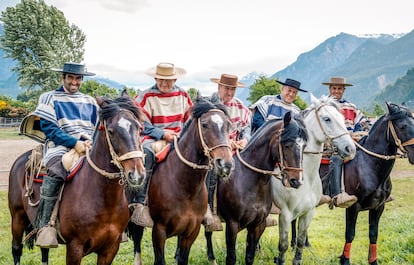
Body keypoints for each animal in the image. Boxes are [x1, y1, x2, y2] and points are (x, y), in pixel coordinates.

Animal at [6, 94, 147, 262]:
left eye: (139, 128)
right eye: (111, 131)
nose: (137, 174)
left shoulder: (111, 248)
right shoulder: (75, 247)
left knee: (44, 251)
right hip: (17, 217)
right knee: (16, 249)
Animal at [128, 97, 234, 264]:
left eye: (228, 125)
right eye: (204, 125)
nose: (225, 164)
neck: (184, 186)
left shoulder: (191, 231)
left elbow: (183, 258)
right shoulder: (159, 231)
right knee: (137, 236)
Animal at [204, 112, 308, 264]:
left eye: (304, 146)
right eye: (287, 144)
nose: (296, 181)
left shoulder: (258, 225)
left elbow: (250, 256)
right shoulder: (232, 224)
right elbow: (231, 258)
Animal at [272, 94, 356, 262]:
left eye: (343, 118)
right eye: (327, 119)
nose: (350, 149)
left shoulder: (308, 212)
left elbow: (300, 241)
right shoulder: (284, 214)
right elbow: (282, 246)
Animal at [316, 102, 414, 262]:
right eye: (402, 126)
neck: (369, 166)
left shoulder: (378, 207)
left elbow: (373, 235)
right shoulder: (353, 207)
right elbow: (350, 234)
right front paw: (345, 260)